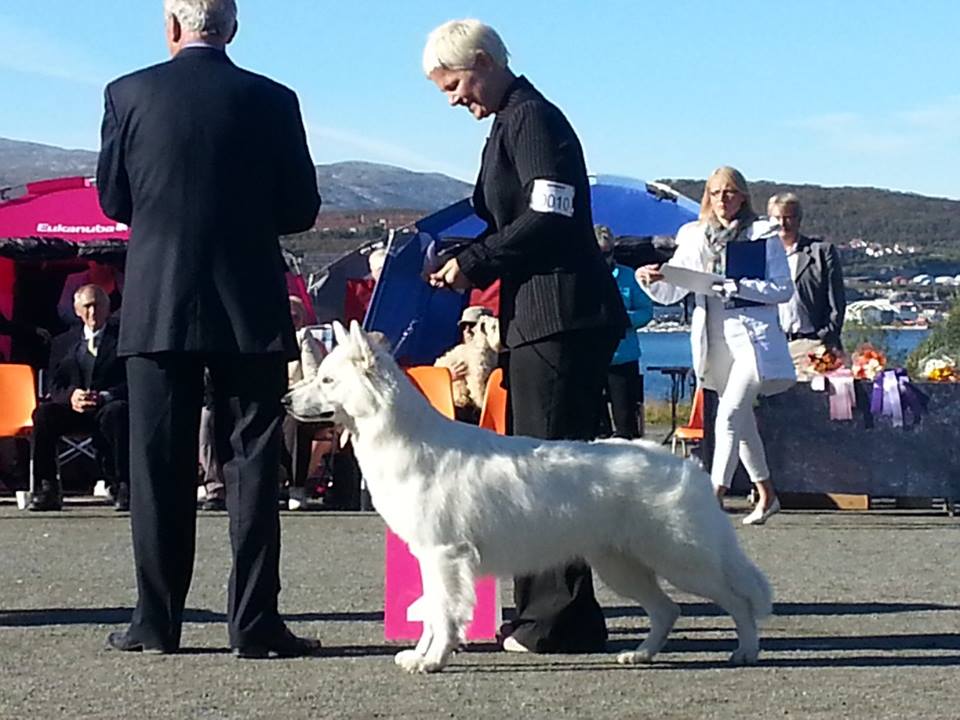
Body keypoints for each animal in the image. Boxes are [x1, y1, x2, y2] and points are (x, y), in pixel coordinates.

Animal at [285, 321, 772, 674]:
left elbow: (444, 613)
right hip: (622, 567)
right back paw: (642, 654)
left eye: (327, 380)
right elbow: (433, 612)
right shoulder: (429, 558)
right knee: (668, 610)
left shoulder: (445, 556)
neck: (402, 436)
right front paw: (422, 654)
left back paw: (745, 651)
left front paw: (433, 660)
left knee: (737, 600)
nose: (285, 399)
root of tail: (687, 467)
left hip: (682, 563)